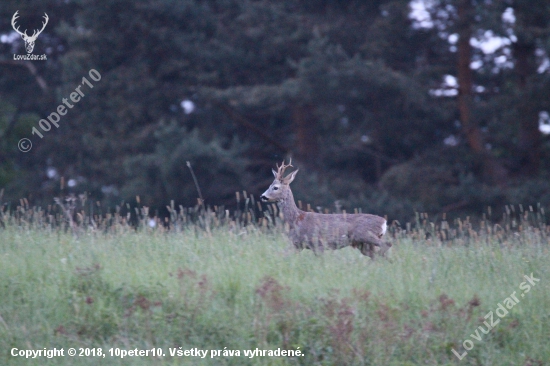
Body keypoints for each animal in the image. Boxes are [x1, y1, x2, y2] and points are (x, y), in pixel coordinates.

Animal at [262, 159, 392, 258]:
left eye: (275, 187)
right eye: (269, 185)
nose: (262, 196)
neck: (296, 219)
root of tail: (384, 222)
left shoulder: (318, 243)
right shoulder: (297, 244)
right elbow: (281, 256)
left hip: (365, 234)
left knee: (387, 244)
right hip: (363, 244)